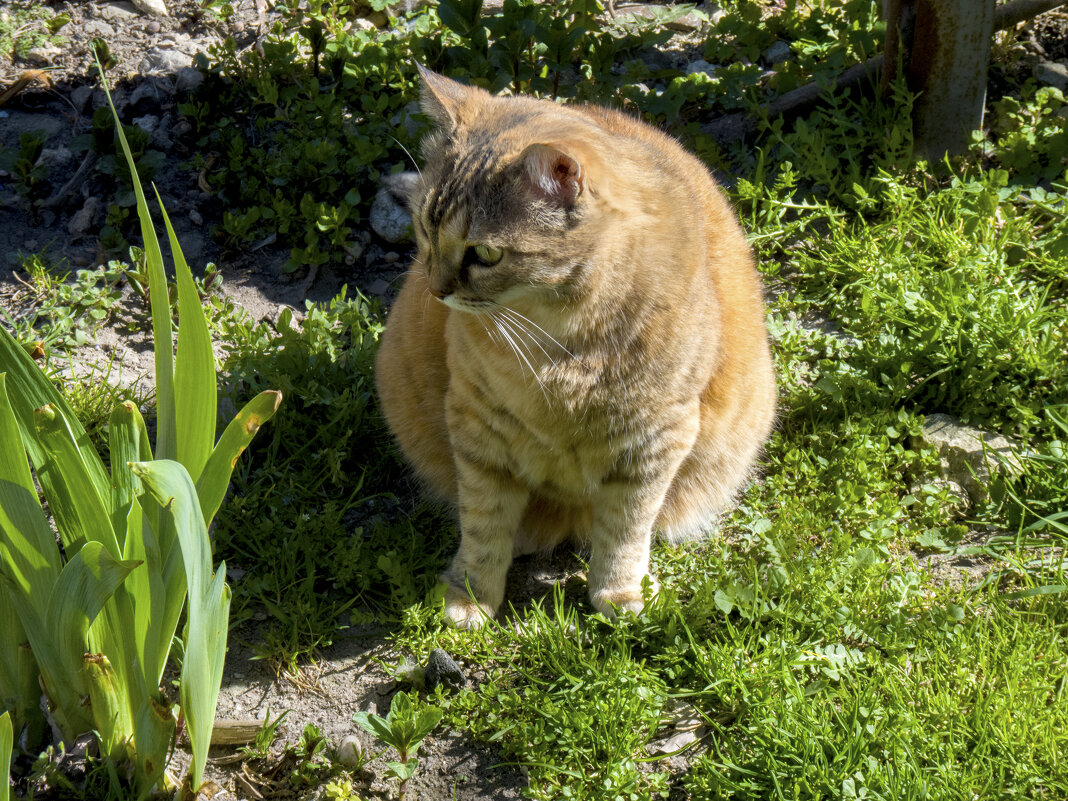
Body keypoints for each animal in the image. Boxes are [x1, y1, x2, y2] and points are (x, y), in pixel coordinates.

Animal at [375, 65, 777, 632]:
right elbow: (483, 523)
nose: (437, 290)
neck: (560, 342)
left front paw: (618, 595)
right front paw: (471, 596)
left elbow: (626, 531)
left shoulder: (654, 442)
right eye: (424, 230)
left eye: (487, 254)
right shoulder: (478, 430)